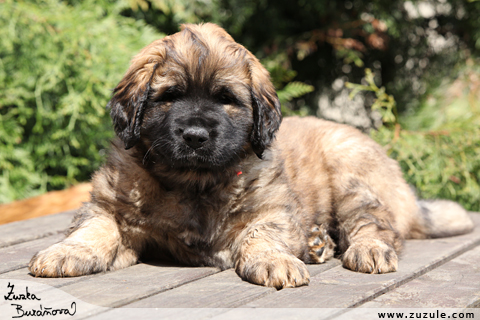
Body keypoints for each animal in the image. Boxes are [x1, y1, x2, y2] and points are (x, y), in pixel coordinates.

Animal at [29, 22, 472, 288]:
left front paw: (275, 260)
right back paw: (318, 244)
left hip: (350, 173)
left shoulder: (271, 208)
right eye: (169, 96)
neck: (193, 182)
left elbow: (262, 234)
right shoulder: (114, 207)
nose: (195, 135)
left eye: (226, 99)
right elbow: (94, 228)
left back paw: (365, 249)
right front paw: (67, 252)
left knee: (376, 223)